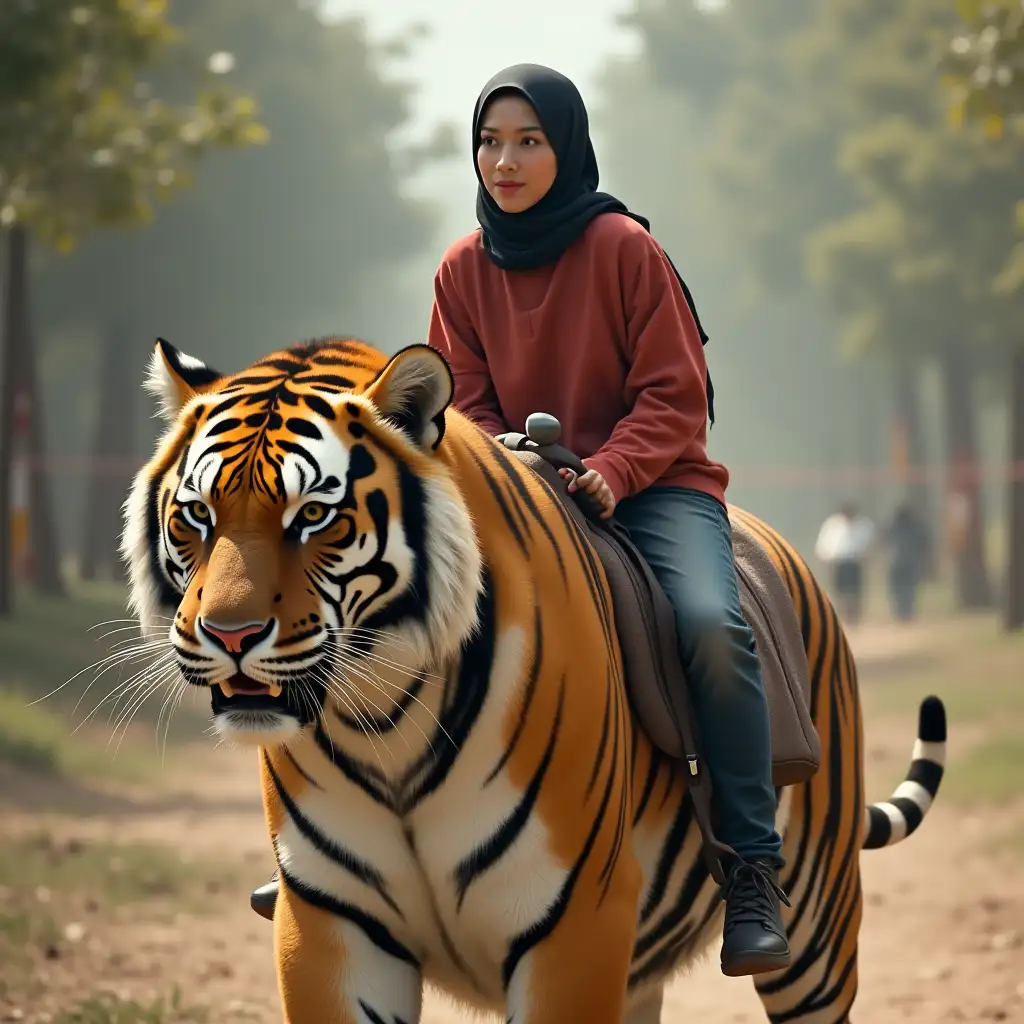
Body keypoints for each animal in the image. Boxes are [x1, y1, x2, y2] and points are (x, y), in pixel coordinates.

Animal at [123, 337, 946, 1024]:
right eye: (195, 516)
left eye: (315, 516)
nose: (229, 635)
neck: (385, 722)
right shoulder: (332, 922)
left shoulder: (577, 918)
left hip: (816, 929)